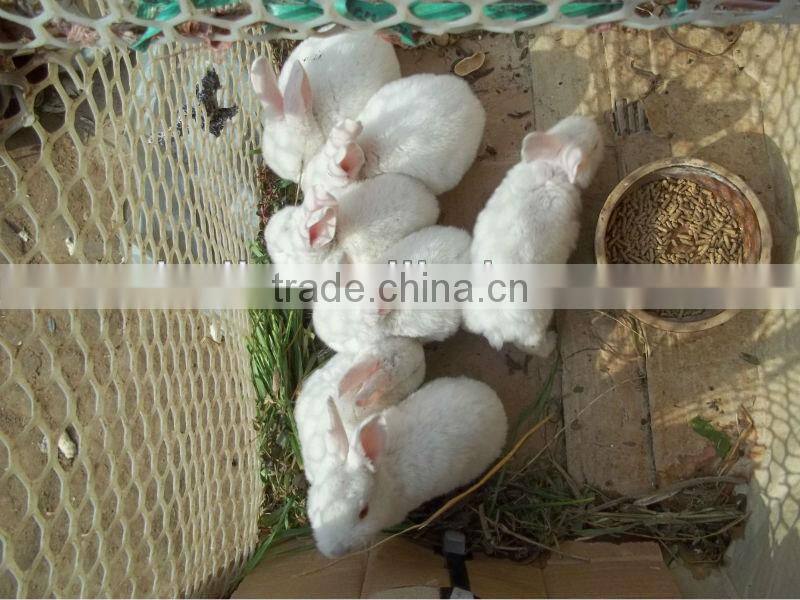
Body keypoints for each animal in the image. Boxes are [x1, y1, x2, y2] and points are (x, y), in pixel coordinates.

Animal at [463, 115, 604, 357]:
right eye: (594, 146)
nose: (598, 126)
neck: (554, 168)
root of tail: (495, 329)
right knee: (534, 346)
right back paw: (552, 341)